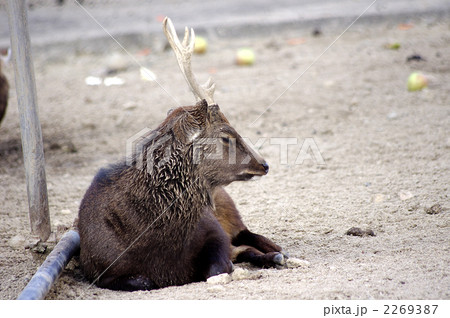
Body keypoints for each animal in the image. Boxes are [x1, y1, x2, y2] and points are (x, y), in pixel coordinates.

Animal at [77, 16, 284, 290]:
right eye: (227, 135)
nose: (264, 164)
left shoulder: (213, 230)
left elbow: (219, 263)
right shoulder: (99, 270)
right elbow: (144, 280)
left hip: (229, 210)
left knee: (249, 236)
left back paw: (278, 252)